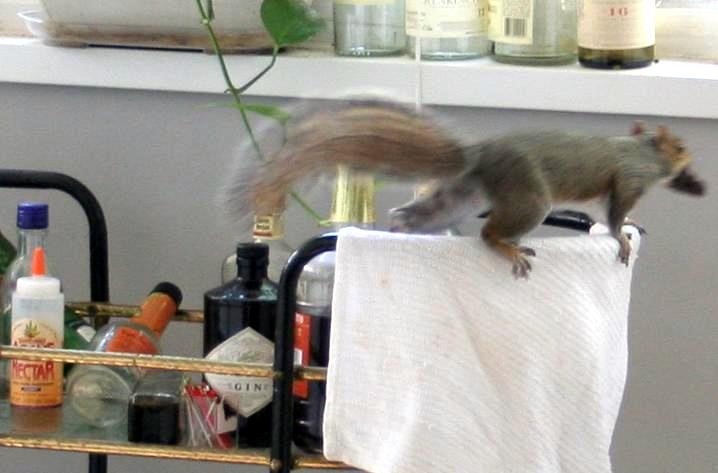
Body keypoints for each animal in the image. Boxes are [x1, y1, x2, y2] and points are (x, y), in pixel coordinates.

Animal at [226, 99, 706, 278]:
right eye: (681, 147)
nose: (691, 165)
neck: (642, 151)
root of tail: (480, 156)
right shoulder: (629, 178)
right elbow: (614, 212)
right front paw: (623, 236)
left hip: (460, 199)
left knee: (415, 215)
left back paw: (399, 229)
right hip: (530, 198)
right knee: (489, 233)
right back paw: (507, 248)